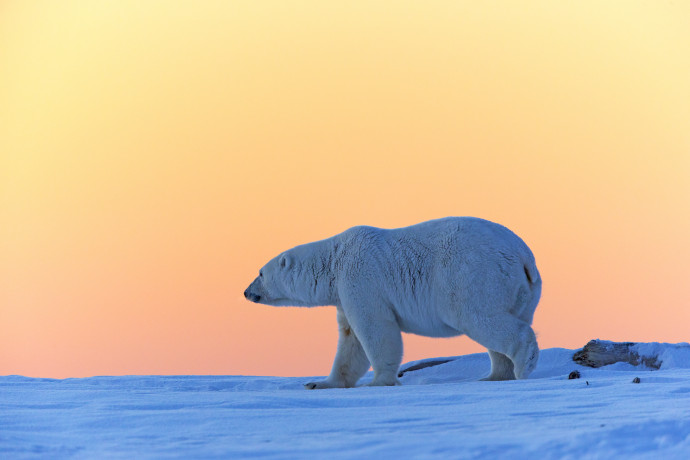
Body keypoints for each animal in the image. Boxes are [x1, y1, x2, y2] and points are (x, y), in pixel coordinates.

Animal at [245, 217, 540, 390]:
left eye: (260, 273)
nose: (247, 292)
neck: (335, 259)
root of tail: (524, 256)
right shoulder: (343, 295)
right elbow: (350, 340)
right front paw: (320, 383)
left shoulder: (360, 279)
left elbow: (374, 329)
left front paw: (378, 382)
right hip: (523, 293)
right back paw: (494, 376)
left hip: (472, 274)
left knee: (479, 317)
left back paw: (523, 365)